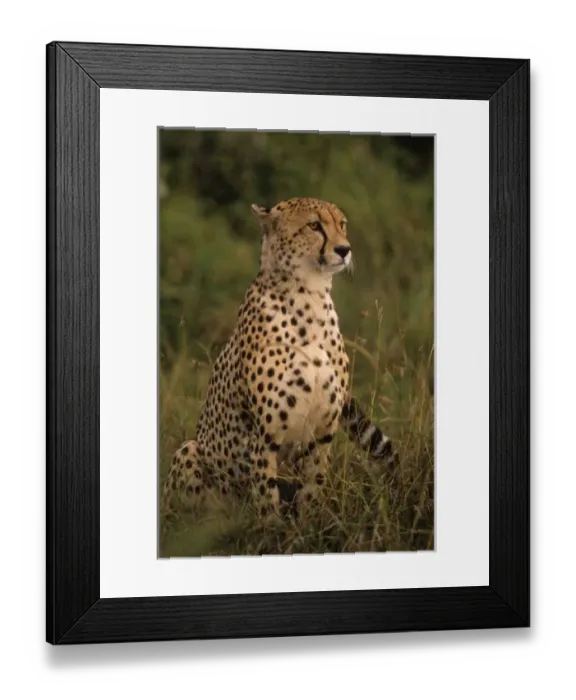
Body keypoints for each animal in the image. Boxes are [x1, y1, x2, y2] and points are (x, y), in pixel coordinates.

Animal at [161, 197, 399, 521]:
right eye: (314, 225)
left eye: (342, 224)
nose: (344, 249)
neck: (310, 297)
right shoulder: (265, 436)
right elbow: (266, 498)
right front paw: (272, 529)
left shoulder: (321, 434)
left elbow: (313, 487)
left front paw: (307, 526)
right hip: (190, 451)